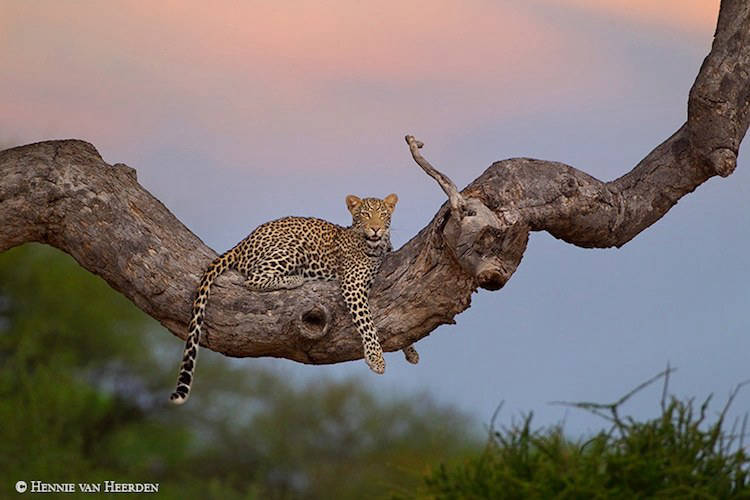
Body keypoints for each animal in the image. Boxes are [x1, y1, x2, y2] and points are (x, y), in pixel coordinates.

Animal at [169, 193, 424, 404]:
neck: (376, 247)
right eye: (365, 215)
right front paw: (376, 359)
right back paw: (295, 279)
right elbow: (368, 324)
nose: (376, 229)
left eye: (383, 215)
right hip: (290, 247)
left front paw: (410, 351)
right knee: (253, 279)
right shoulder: (353, 285)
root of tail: (243, 241)